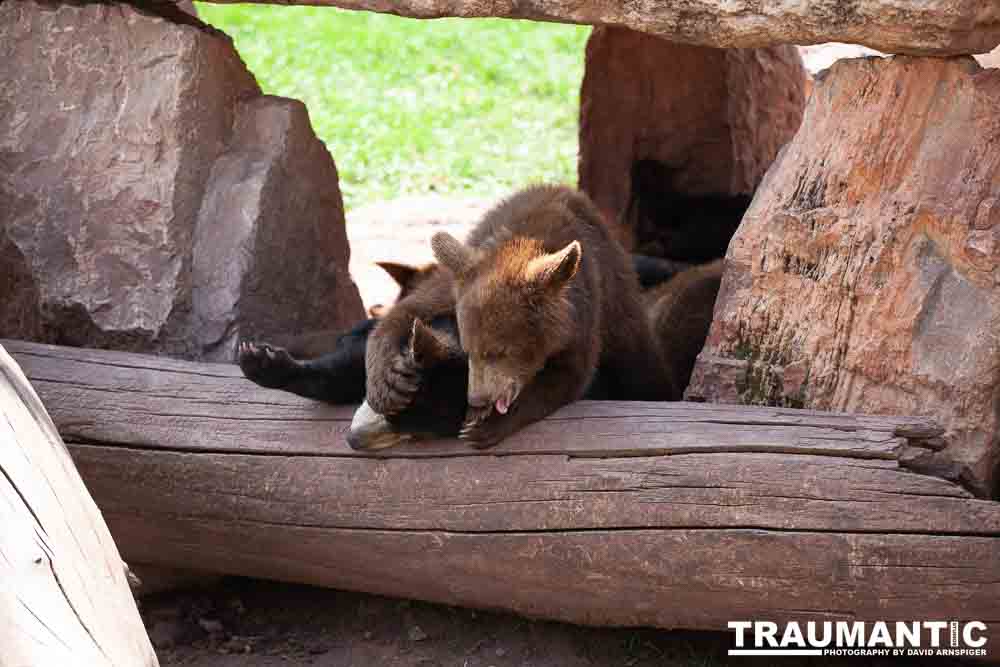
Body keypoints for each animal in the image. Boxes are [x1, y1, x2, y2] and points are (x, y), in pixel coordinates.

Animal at [392, 184, 676, 448]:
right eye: (469, 349)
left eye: (500, 351)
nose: (477, 398)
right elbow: (417, 305)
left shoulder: (585, 312)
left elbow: (568, 376)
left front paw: (485, 427)